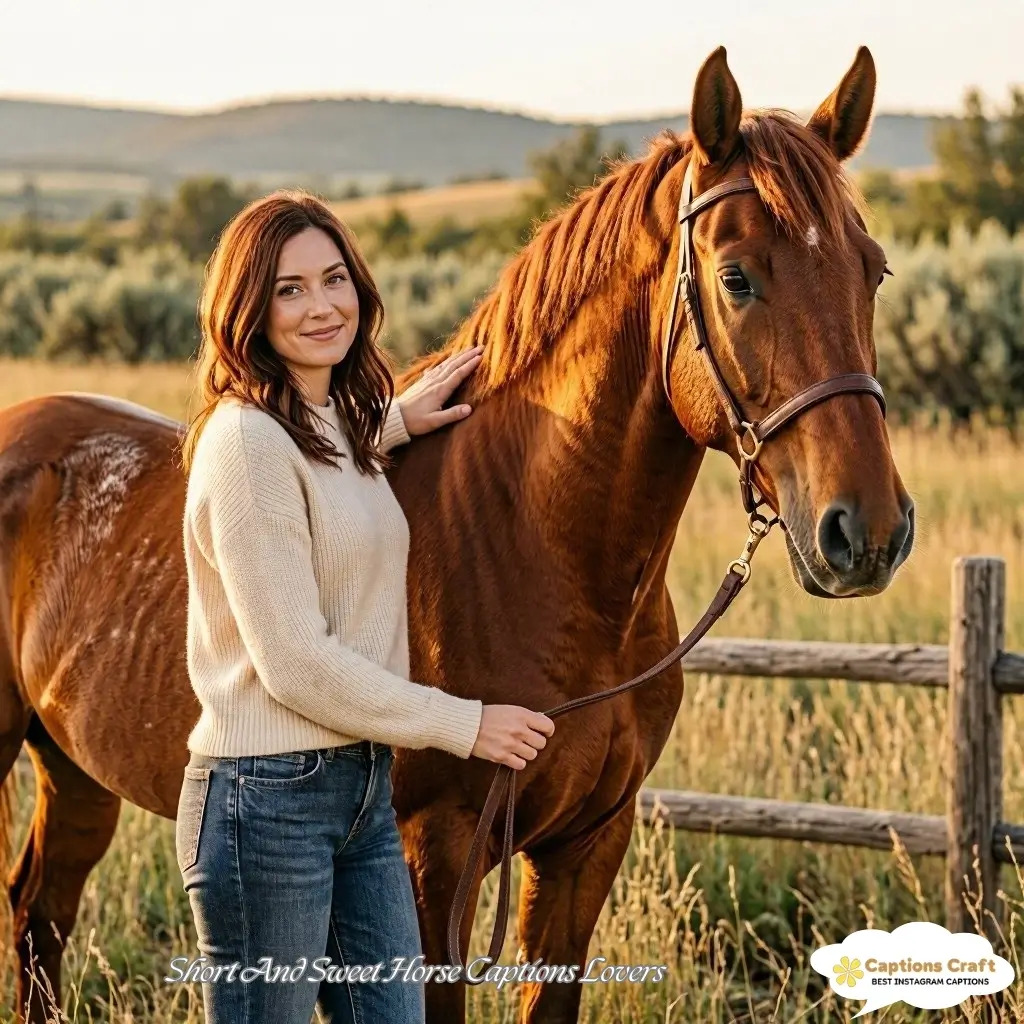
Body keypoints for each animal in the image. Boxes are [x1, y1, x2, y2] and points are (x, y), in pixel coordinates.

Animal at [0, 45, 913, 1023]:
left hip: (74, 769)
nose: (867, 531)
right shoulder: (431, 862)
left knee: (41, 914)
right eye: (738, 277)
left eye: (873, 271)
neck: (537, 551)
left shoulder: (587, 848)